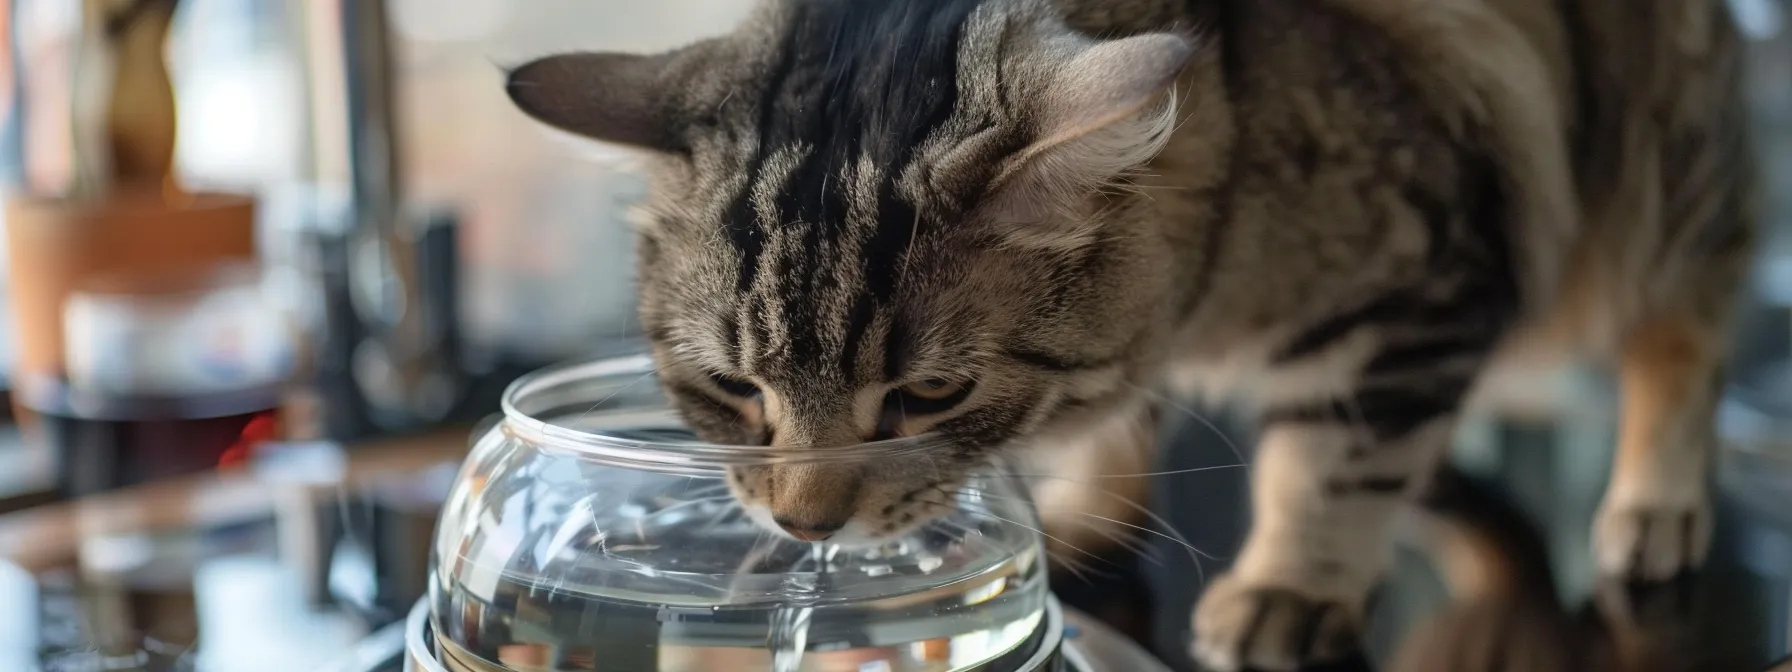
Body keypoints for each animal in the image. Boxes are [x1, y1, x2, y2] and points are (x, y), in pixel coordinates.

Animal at [501, 2, 1748, 670]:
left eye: (929, 396)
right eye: (733, 389)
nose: (806, 524)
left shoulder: (1414, 276)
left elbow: (1331, 464)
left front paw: (1290, 583)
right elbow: (1119, 416)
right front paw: (1091, 511)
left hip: (1658, 171)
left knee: (1687, 325)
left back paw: (1653, 502)